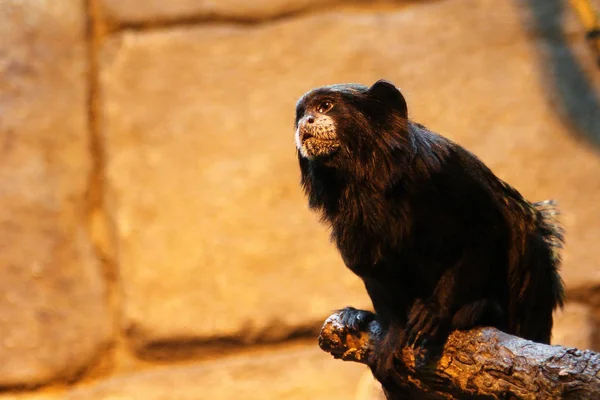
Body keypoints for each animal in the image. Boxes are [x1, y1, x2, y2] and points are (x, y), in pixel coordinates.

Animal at [296, 79, 568, 388]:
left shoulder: (442, 170)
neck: (371, 176)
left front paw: (436, 309)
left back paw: (481, 309)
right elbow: (371, 268)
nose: (306, 121)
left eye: (325, 106)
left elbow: (485, 232)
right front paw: (391, 331)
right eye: (301, 113)